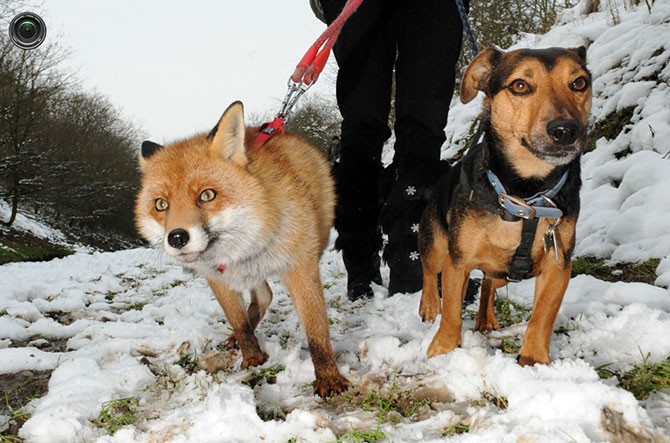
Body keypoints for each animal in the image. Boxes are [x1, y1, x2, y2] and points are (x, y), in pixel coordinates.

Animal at [135, 101, 352, 398]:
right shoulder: (217, 277)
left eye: (207, 195)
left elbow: (316, 331)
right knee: (264, 296)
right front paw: (252, 358)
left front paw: (329, 378)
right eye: (161, 204)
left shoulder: (300, 267)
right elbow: (239, 321)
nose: (177, 237)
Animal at [418, 46, 596, 366]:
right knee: (429, 270)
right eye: (520, 86)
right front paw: (443, 351)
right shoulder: (458, 262)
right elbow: (450, 314)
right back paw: (428, 305)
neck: (526, 194)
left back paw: (486, 318)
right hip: (436, 243)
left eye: (579, 83)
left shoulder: (558, 265)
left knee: (489, 283)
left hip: (503, 273)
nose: (566, 130)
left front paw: (533, 360)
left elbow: (542, 317)